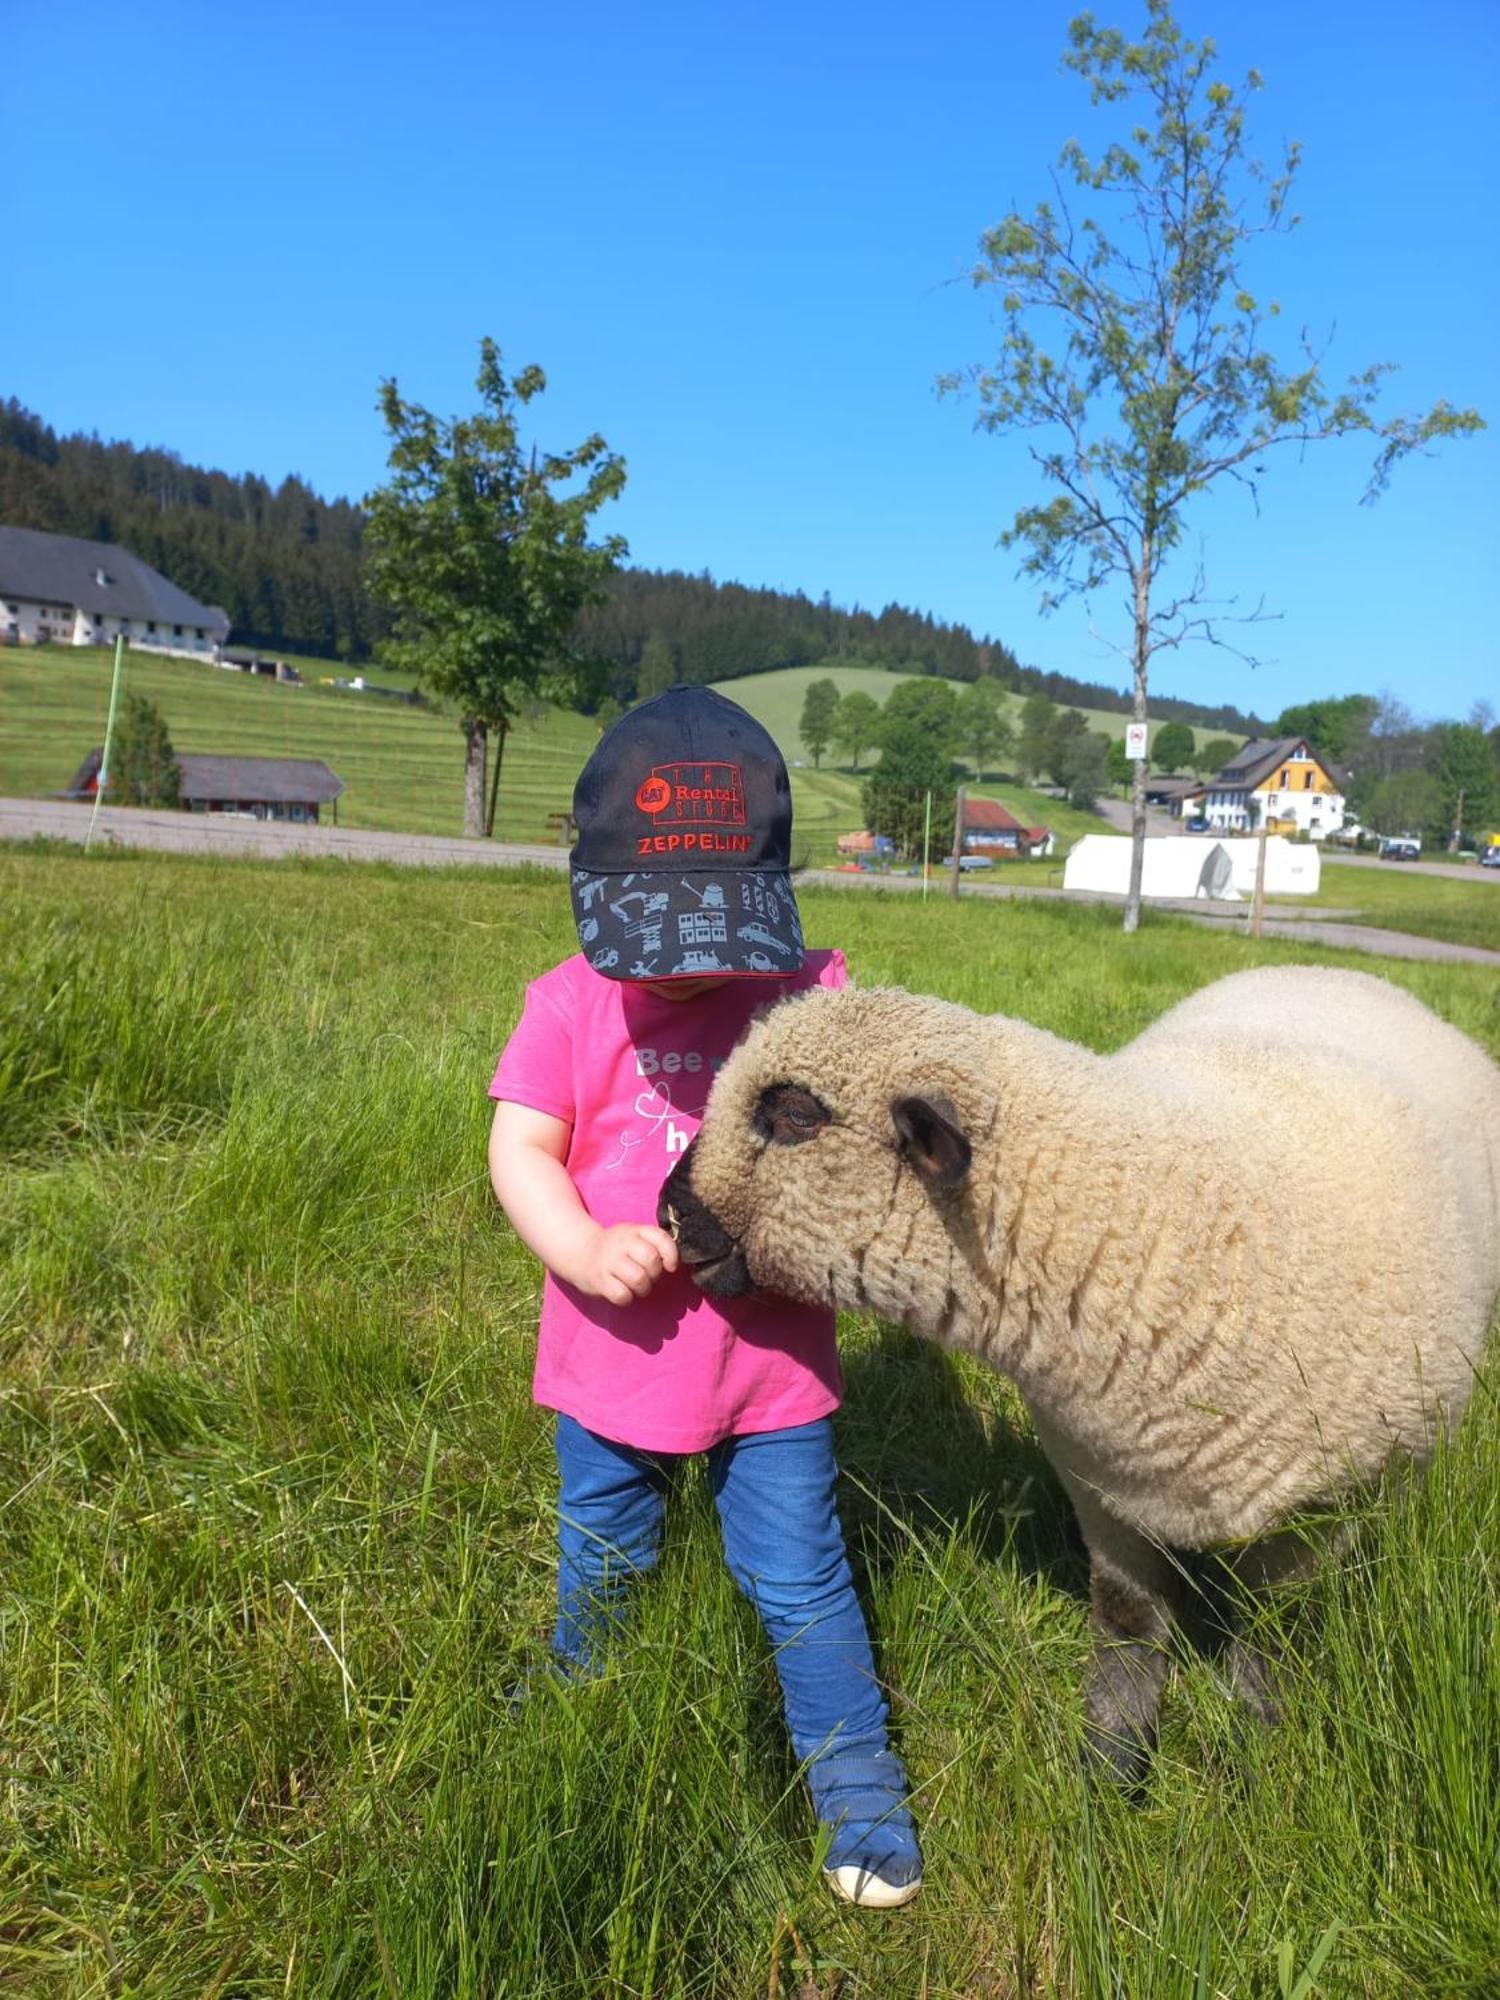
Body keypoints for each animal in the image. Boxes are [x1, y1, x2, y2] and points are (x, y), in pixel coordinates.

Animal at [668, 968, 1500, 1784]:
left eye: (795, 1114)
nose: (671, 1212)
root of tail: (1337, 970)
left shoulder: (1325, 1515)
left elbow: (1271, 1643)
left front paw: (1256, 1758)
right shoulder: (1107, 1489)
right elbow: (1128, 1618)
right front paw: (1110, 1764)